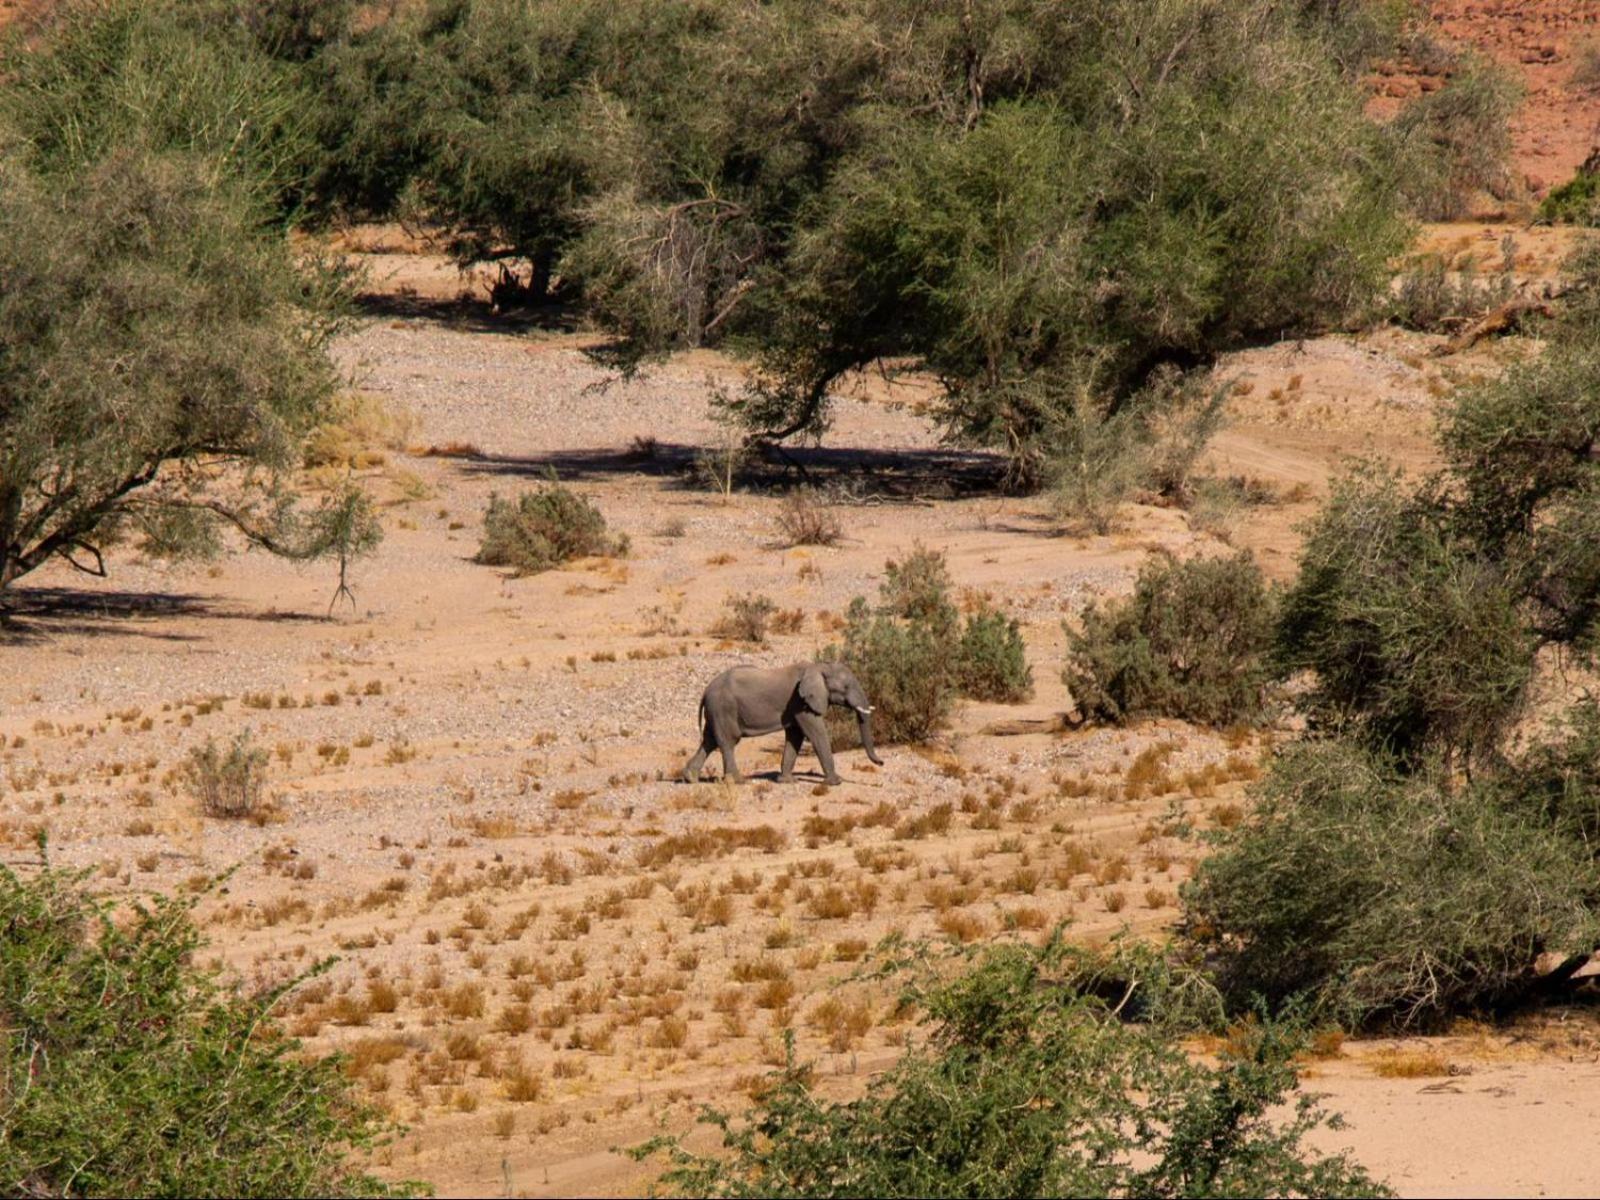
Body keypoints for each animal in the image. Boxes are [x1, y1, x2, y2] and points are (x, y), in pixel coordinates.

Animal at [684, 662, 889, 784]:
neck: (818, 666)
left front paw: (787, 781)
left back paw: (690, 779)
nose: (882, 762)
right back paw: (738, 781)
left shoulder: (796, 706)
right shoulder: (801, 702)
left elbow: (795, 736)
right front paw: (835, 782)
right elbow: (816, 733)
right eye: (846, 687)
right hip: (724, 708)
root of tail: (706, 690)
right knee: (727, 742)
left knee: (709, 741)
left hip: (716, 711)